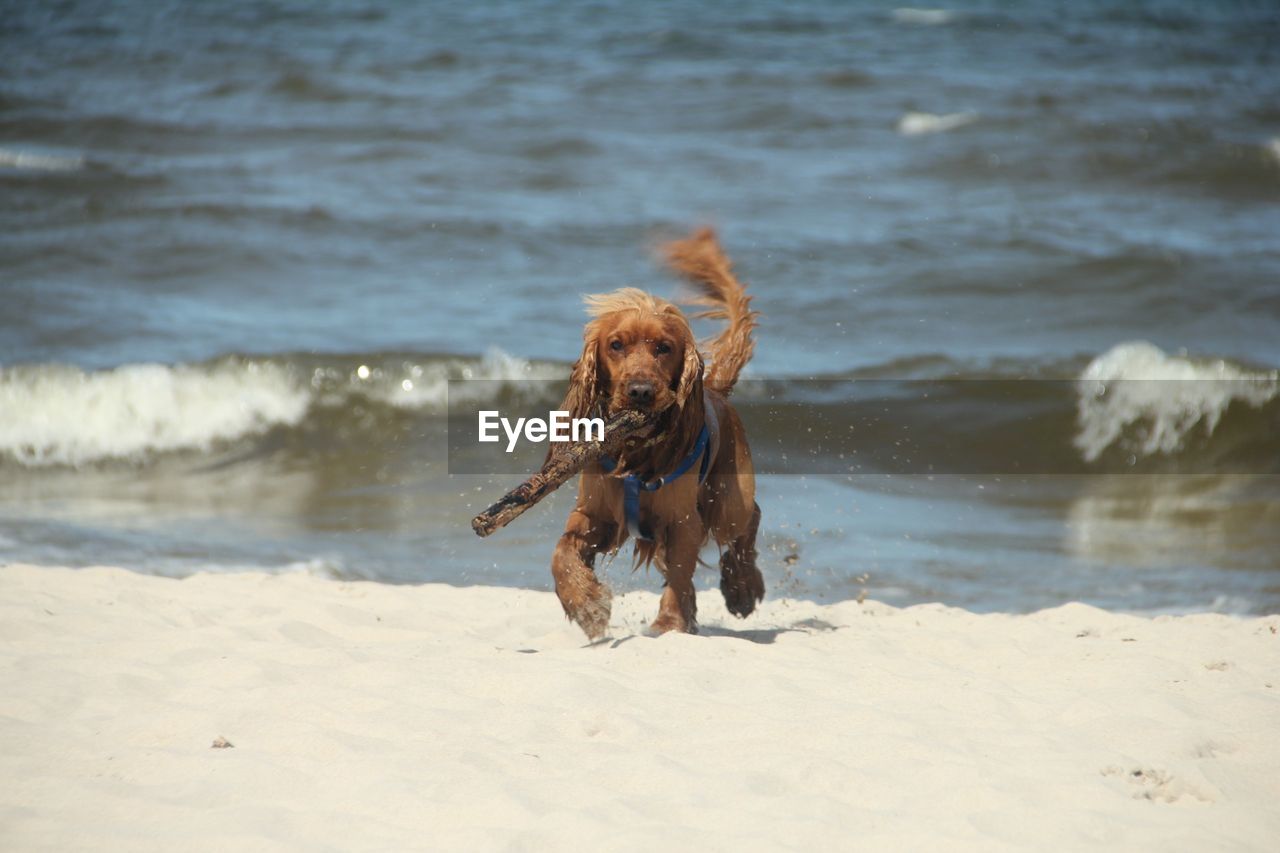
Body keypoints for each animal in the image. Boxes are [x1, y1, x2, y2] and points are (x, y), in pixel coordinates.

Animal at [547, 229, 757, 635]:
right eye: (615, 345)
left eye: (664, 348)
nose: (641, 392)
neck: (635, 451)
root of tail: (715, 389)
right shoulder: (594, 514)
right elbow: (561, 553)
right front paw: (586, 604)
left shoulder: (683, 522)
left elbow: (679, 576)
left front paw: (669, 623)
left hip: (729, 503)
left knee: (748, 520)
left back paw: (742, 587)